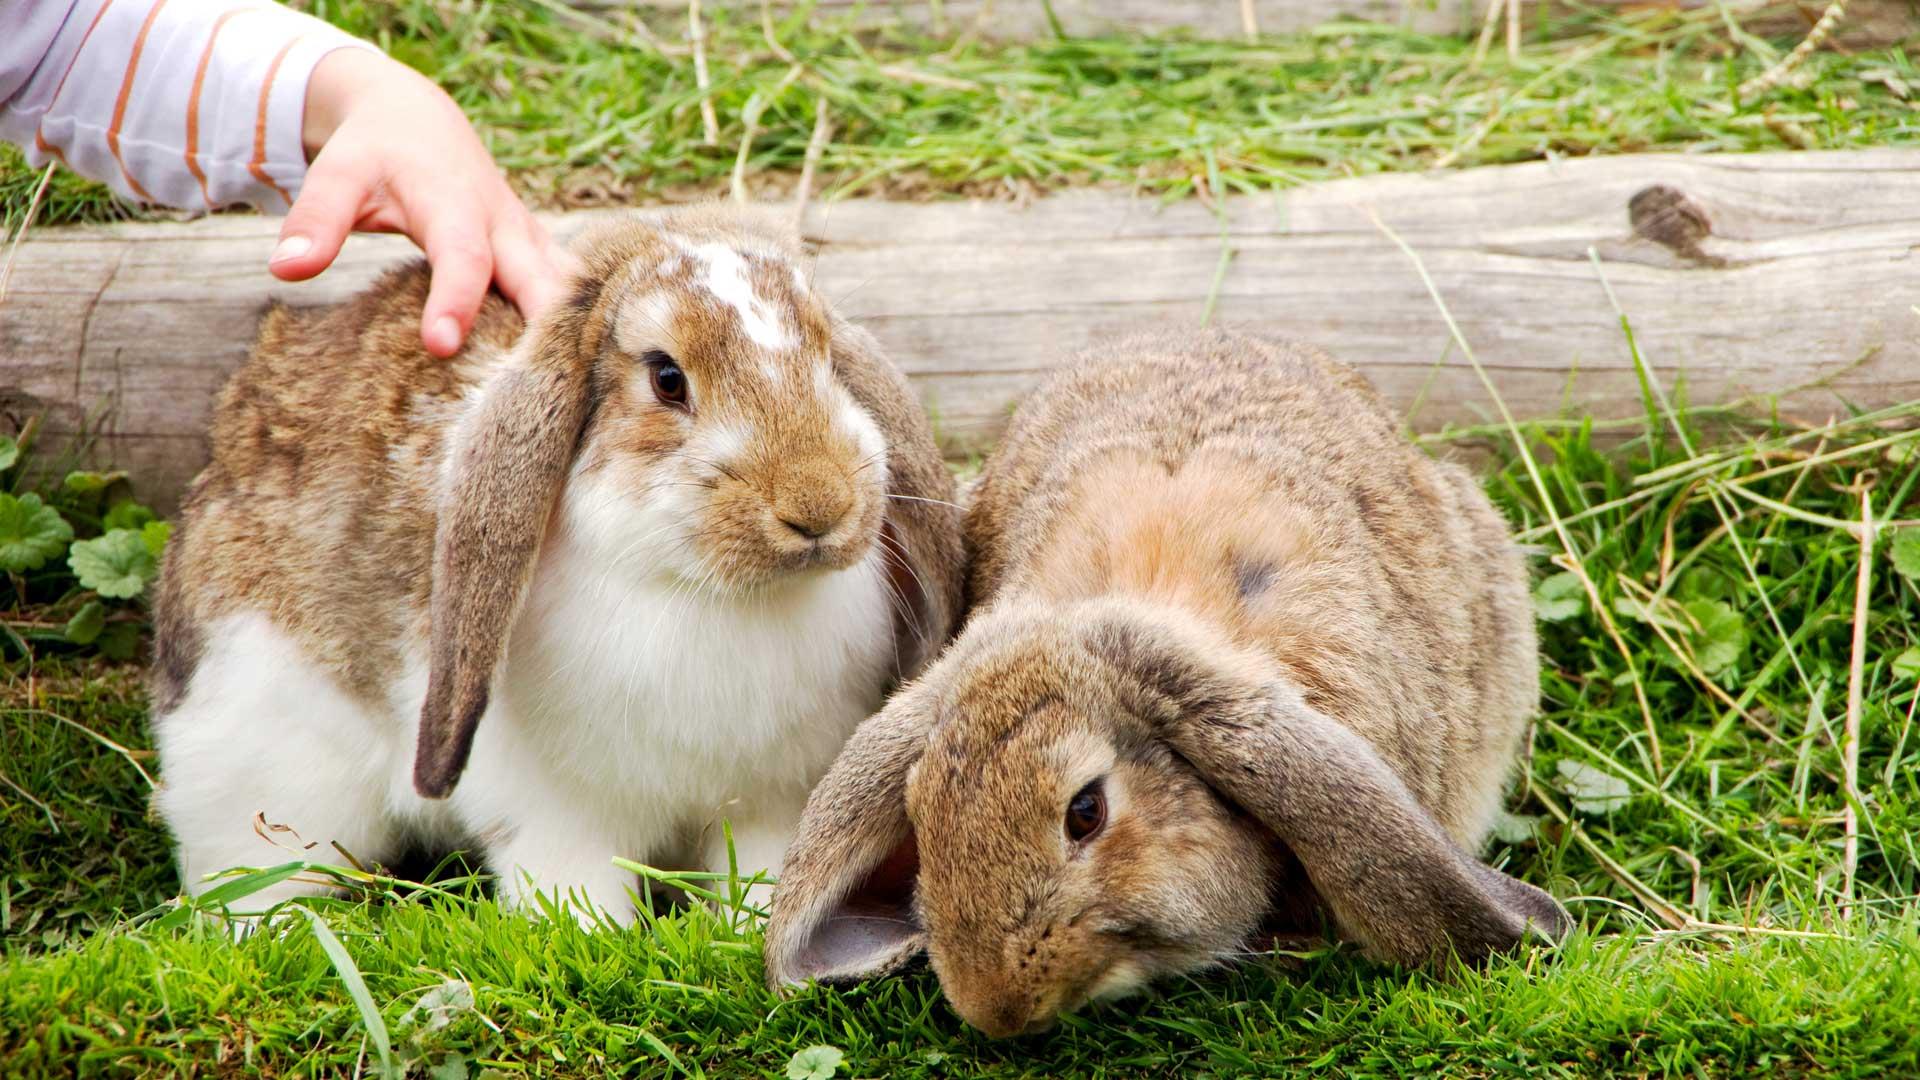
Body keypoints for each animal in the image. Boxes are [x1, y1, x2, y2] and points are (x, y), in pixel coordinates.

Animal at [151, 205, 967, 922]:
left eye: (828, 359)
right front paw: (589, 932)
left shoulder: (770, 803)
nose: (819, 507)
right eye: (667, 378)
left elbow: (762, 875)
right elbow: (574, 887)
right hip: (265, 755)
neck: (708, 593)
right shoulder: (558, 817)